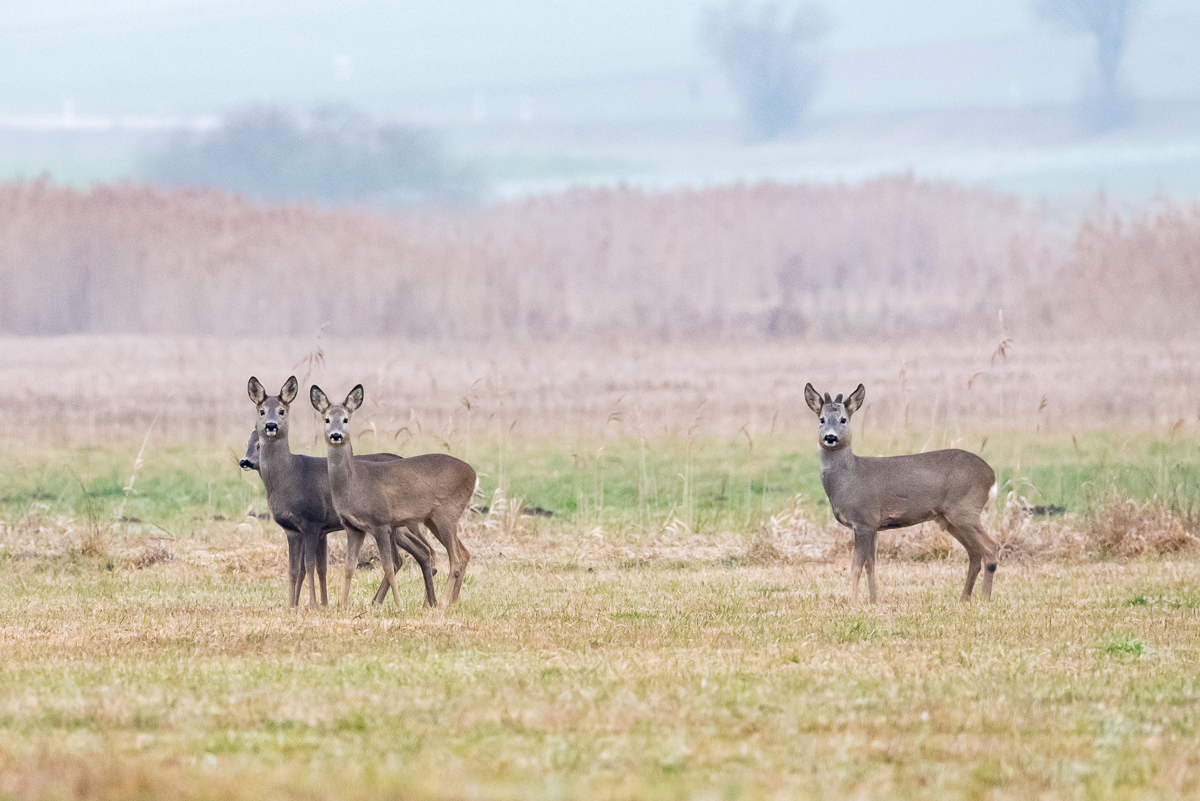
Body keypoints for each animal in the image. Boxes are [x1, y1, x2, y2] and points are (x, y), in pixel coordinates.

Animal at [247, 377, 439, 608]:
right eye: (262, 411)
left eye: (282, 411)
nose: (271, 425)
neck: (290, 475)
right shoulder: (295, 529)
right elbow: (298, 569)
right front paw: (296, 606)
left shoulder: (312, 521)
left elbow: (308, 565)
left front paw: (313, 605)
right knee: (418, 553)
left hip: (401, 523)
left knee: (416, 553)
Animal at [310, 383, 476, 607]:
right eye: (327, 419)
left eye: (345, 419)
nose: (336, 435)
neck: (354, 484)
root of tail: (473, 474)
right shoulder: (353, 527)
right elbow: (349, 567)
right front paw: (343, 605)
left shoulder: (381, 522)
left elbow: (389, 567)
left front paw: (398, 605)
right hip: (433, 519)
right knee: (462, 553)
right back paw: (449, 602)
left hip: (447, 514)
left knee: (455, 559)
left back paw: (441, 602)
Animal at [804, 383, 999, 604]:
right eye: (822, 419)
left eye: (843, 419)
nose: (830, 437)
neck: (848, 478)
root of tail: (991, 475)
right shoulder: (873, 525)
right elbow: (871, 565)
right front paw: (873, 600)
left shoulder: (864, 519)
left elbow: (856, 567)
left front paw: (853, 602)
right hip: (950, 519)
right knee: (974, 552)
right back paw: (964, 598)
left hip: (965, 509)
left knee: (990, 548)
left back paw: (985, 598)